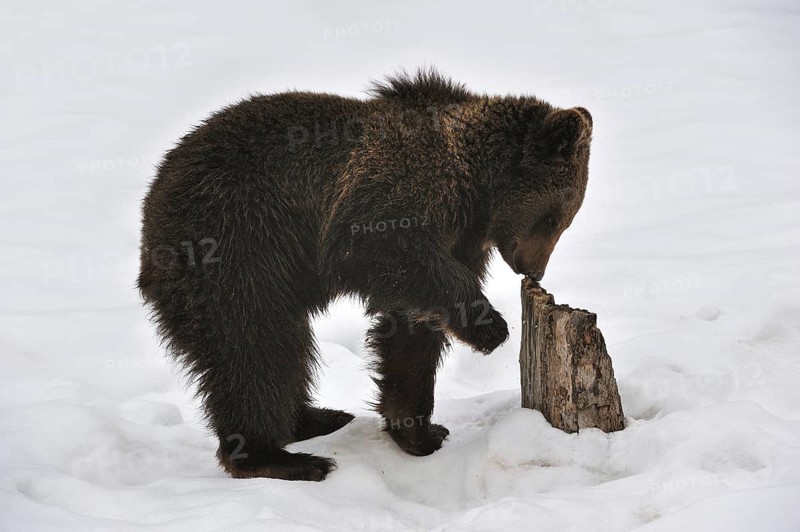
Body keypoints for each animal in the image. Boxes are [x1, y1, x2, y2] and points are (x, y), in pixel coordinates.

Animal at [137, 68, 592, 481]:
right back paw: (282, 458)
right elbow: (373, 250)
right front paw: (491, 327)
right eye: (553, 218)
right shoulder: (395, 191)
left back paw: (315, 418)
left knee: (285, 348)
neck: (474, 187)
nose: (534, 270)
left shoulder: (457, 241)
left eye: (566, 219)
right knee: (256, 348)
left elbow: (413, 331)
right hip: (235, 248)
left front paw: (419, 431)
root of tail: (151, 211)